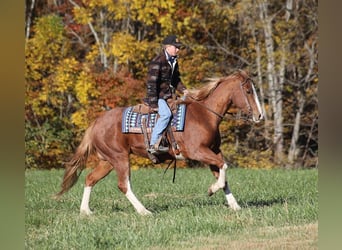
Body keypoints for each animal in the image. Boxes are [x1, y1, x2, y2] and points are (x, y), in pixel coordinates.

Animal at [56, 70, 264, 215]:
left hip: (107, 161)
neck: (204, 115)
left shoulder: (214, 151)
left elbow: (223, 173)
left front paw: (234, 205)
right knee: (123, 185)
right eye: (248, 91)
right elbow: (224, 167)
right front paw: (212, 190)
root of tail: (96, 122)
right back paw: (144, 211)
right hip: (120, 158)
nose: (260, 115)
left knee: (90, 179)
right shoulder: (197, 152)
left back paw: (85, 211)